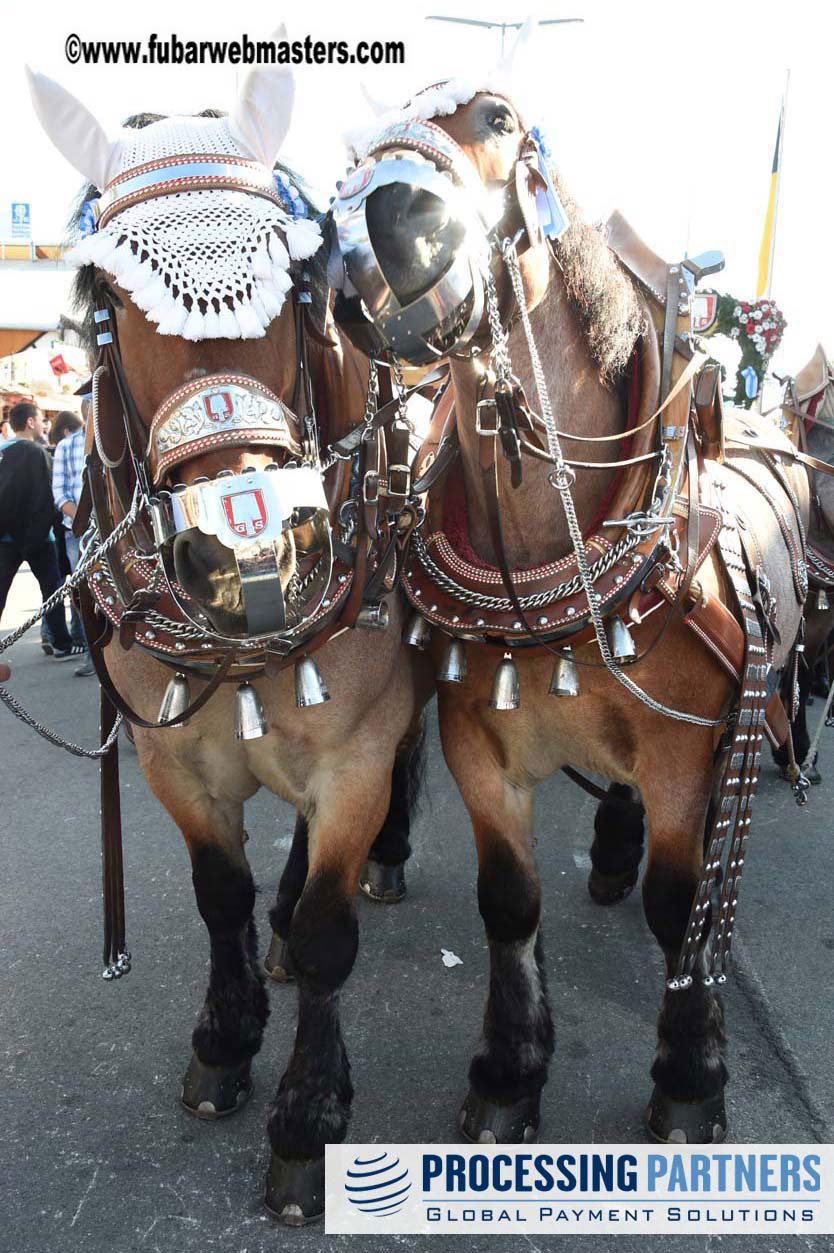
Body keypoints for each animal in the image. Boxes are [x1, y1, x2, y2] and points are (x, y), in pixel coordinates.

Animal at [29, 61, 425, 1222]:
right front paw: (225, 1036)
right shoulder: (172, 758)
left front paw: (307, 1115)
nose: (242, 544)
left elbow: (334, 934)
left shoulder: (354, 754)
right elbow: (220, 895)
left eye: (297, 288)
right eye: (105, 307)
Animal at [363, 88, 806, 1147]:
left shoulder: (687, 749)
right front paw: (508, 1072)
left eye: (495, 117)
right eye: (364, 141)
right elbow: (508, 902)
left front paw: (689, 1077)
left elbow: (682, 906)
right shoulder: (479, 745)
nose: (394, 221)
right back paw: (609, 852)